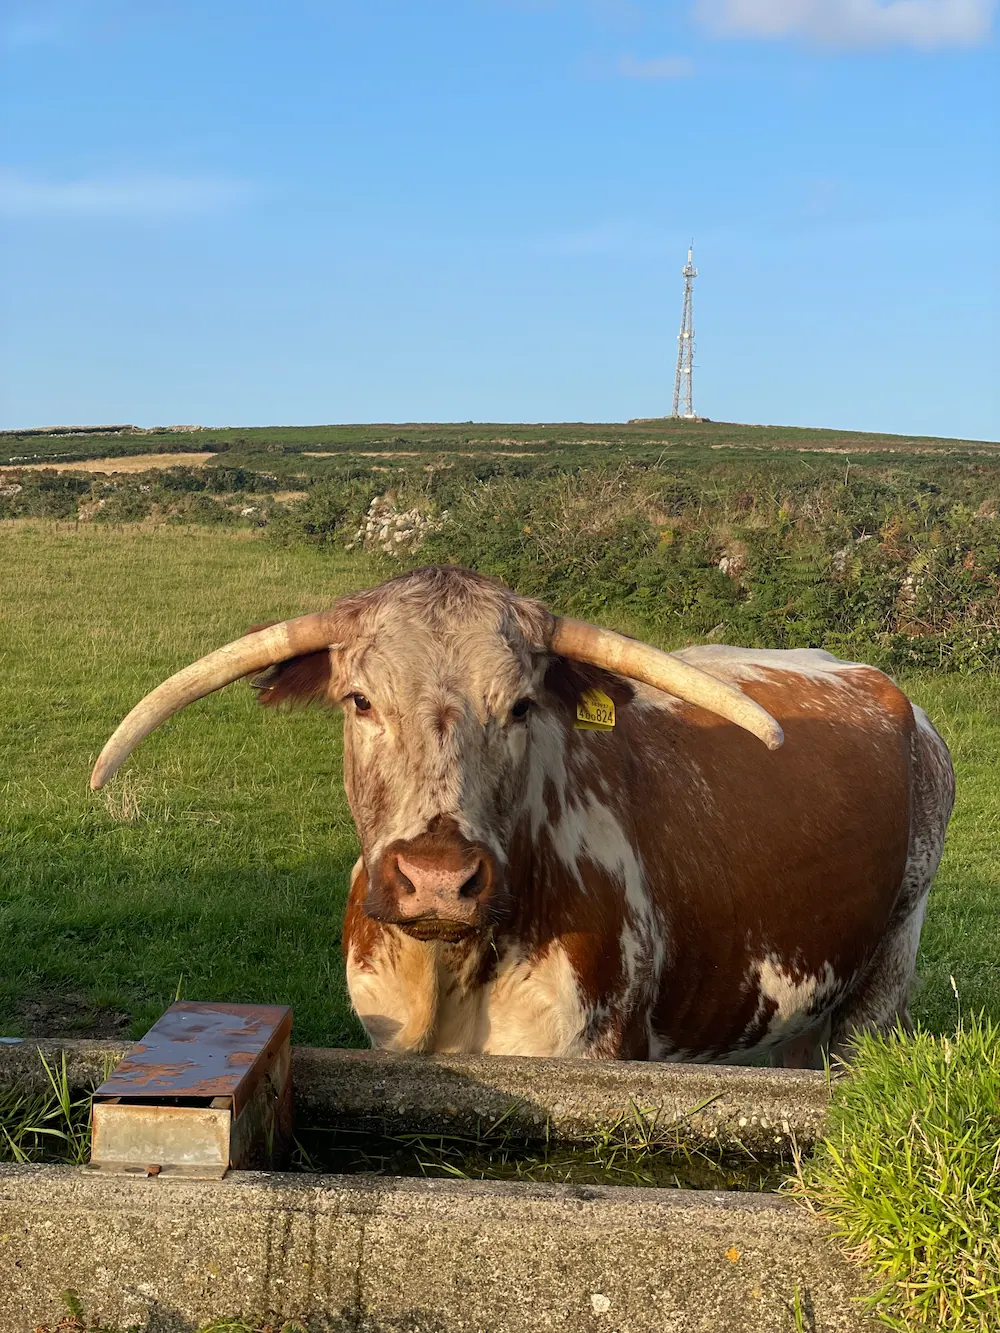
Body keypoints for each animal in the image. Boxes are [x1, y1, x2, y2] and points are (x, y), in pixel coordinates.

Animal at [91, 565, 954, 1067]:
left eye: (521, 706)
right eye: (360, 700)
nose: (439, 878)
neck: (450, 970)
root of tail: (887, 691)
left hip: (883, 980)